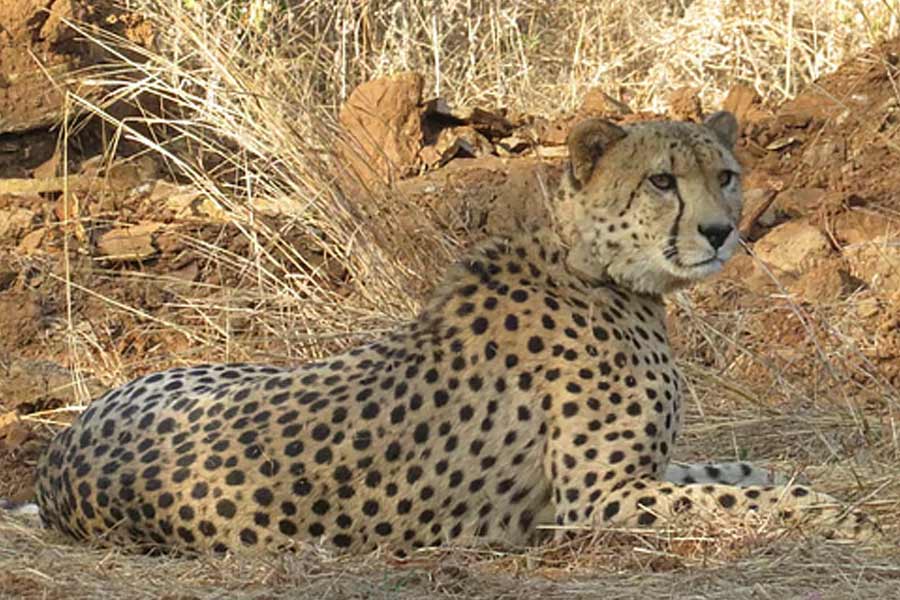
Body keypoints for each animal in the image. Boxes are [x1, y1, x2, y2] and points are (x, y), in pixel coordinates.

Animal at [33, 111, 877, 556]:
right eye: (661, 181)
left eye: (725, 175)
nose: (720, 231)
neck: (597, 269)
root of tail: (57, 458)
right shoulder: (592, 500)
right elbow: (732, 499)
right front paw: (829, 515)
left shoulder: (643, 472)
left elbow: (742, 471)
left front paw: (820, 493)